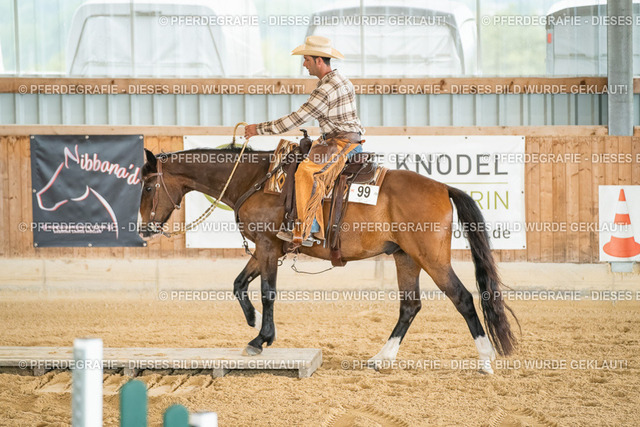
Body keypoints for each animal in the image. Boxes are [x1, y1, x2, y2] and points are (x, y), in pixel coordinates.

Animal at [139, 144, 518, 374]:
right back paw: (381, 358)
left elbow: (267, 292)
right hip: (406, 258)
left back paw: (485, 360)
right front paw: (251, 321)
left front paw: (261, 339)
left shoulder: (267, 248)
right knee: (410, 306)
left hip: (431, 258)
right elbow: (238, 284)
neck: (258, 181)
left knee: (463, 298)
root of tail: (442, 188)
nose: (143, 229)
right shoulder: (266, 250)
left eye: (148, 186)